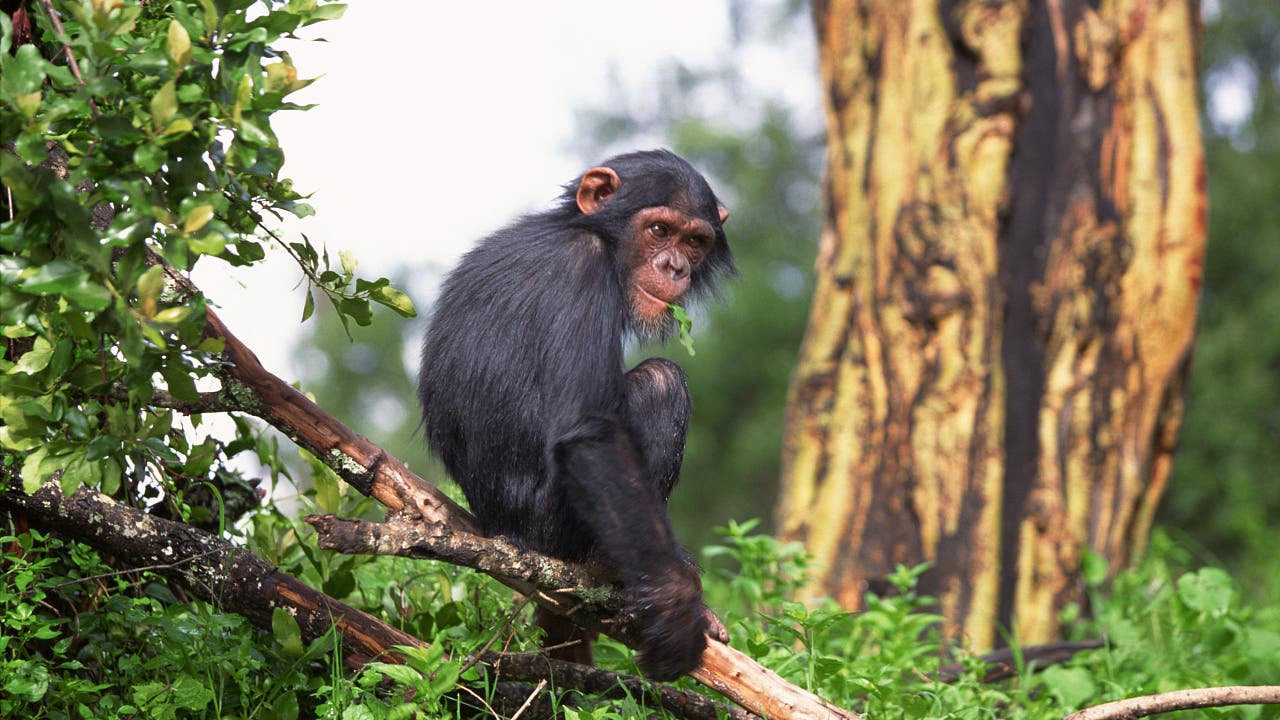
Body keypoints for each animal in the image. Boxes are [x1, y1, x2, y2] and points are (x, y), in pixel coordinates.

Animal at [419, 148, 737, 676]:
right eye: (659, 230)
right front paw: (675, 603)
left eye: (695, 242)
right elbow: (591, 431)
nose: (675, 266)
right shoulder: (582, 268)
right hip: (552, 533)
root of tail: (498, 532)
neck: (590, 233)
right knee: (662, 382)